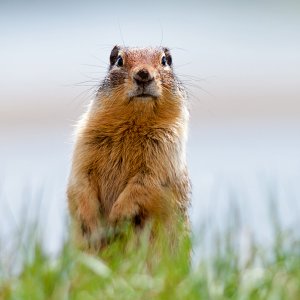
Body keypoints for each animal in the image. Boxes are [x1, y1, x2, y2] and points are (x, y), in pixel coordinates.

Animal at [67, 44, 191, 251]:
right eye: (119, 60)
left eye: (165, 60)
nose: (143, 74)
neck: (134, 124)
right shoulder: (84, 145)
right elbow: (81, 182)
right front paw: (91, 225)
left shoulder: (165, 153)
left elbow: (145, 185)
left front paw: (116, 219)